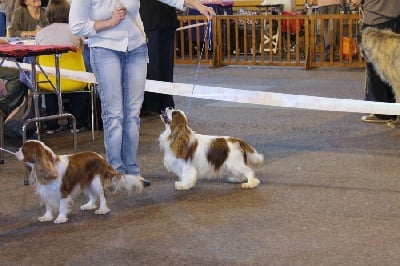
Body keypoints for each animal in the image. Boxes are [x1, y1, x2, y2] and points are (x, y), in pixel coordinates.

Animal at [15, 140, 150, 223]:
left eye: (23, 149)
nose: (16, 149)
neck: (50, 163)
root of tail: (101, 158)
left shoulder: (63, 191)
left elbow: (62, 206)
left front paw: (60, 218)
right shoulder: (46, 192)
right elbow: (48, 206)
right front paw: (47, 217)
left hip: (96, 181)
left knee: (102, 196)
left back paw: (103, 209)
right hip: (86, 182)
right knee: (93, 196)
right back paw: (89, 205)